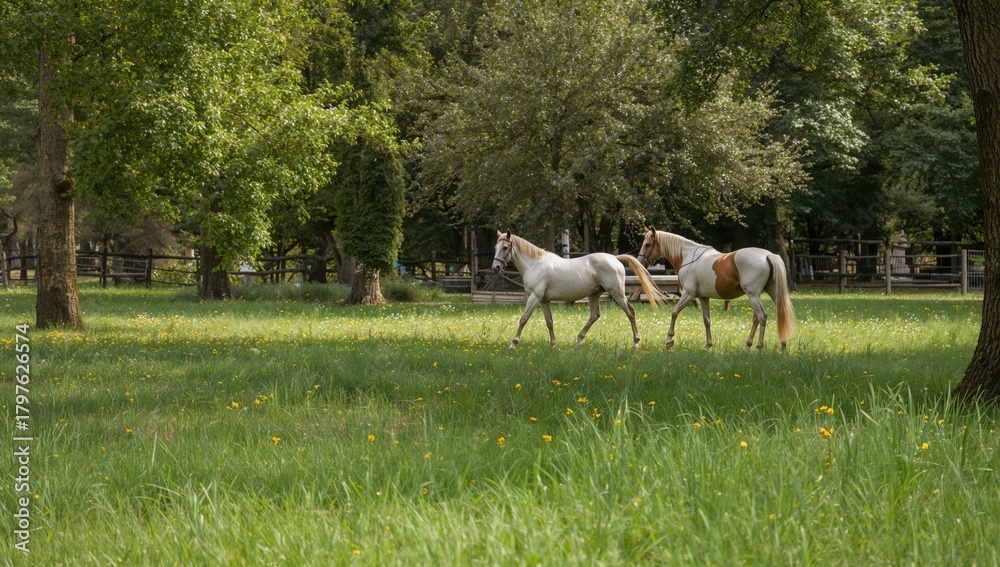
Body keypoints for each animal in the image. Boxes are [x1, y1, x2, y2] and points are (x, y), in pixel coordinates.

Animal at [491, 230, 667, 349]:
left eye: (505, 247)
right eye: (496, 247)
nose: (496, 268)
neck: (535, 264)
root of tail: (614, 258)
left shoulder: (534, 297)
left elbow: (523, 319)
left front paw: (513, 344)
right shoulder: (544, 300)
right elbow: (549, 322)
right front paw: (553, 344)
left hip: (617, 294)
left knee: (630, 312)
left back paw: (636, 343)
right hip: (594, 295)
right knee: (595, 315)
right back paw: (579, 340)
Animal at [637, 227, 795, 351]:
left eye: (647, 244)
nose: (640, 263)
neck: (688, 256)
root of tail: (767, 255)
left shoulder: (688, 295)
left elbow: (674, 313)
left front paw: (669, 341)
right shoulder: (703, 297)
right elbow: (707, 320)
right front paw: (708, 346)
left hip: (753, 295)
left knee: (762, 317)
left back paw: (758, 347)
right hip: (769, 293)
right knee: (773, 314)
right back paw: (775, 345)